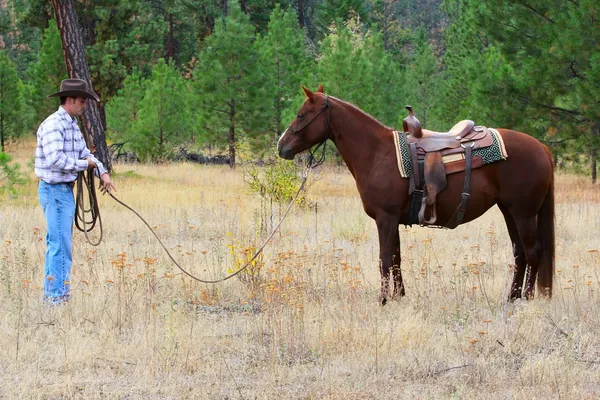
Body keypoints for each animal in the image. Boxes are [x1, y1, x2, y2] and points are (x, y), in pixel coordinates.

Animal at [278, 83, 556, 304]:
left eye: (301, 115)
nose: (281, 146)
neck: (377, 152)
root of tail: (541, 148)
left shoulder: (385, 218)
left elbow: (384, 259)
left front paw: (383, 300)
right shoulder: (392, 221)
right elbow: (396, 258)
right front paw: (399, 297)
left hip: (523, 213)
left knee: (533, 252)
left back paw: (526, 298)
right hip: (509, 211)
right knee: (520, 252)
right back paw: (512, 297)